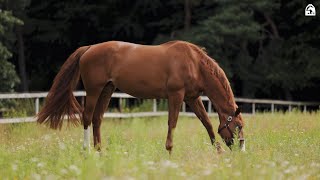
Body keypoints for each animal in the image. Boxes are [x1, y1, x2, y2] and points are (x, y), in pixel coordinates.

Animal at [37, 40, 245, 153]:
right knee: (87, 118)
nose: (241, 149)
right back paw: (86, 151)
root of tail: (89, 48)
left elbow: (207, 123)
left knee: (97, 120)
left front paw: (218, 151)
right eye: (239, 126)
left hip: (107, 90)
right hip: (94, 90)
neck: (193, 63)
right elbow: (172, 123)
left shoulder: (192, 98)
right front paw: (169, 151)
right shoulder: (176, 95)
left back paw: (99, 151)